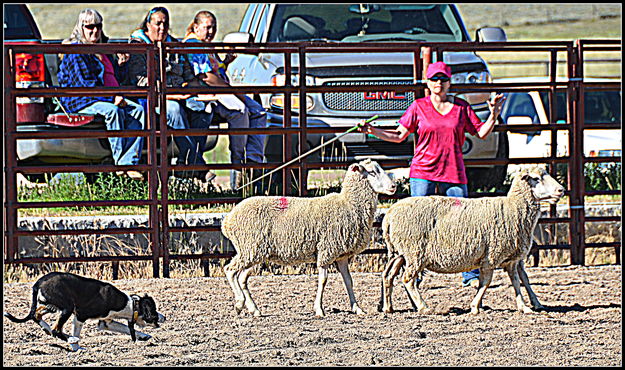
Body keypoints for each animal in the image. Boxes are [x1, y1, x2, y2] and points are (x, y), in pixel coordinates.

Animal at [3, 270, 165, 352]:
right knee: (56, 330)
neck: (130, 305)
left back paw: (46, 329)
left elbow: (126, 328)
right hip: (66, 308)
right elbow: (76, 332)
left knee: (37, 315)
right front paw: (76, 346)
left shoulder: (106, 322)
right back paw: (69, 339)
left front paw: (143, 336)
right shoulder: (80, 316)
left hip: (51, 306)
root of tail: (39, 282)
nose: (164, 317)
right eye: (154, 311)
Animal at [219, 158, 394, 316]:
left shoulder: (341, 255)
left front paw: (357, 308)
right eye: (372, 172)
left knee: (241, 278)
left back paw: (253, 309)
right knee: (230, 270)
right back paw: (240, 302)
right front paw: (319, 309)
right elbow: (323, 280)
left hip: (255, 252)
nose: (393, 186)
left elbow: (348, 281)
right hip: (249, 249)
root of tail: (228, 221)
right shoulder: (326, 250)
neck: (348, 204)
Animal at [378, 166, 564, 314]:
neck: (513, 207)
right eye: (536, 179)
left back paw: (388, 307)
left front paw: (525, 306)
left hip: (399, 253)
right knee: (408, 280)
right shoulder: (491, 256)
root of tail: (389, 215)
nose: (561, 190)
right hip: (414, 254)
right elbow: (486, 282)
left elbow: (519, 281)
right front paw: (475, 306)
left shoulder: (512, 259)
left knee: (388, 275)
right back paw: (424, 307)